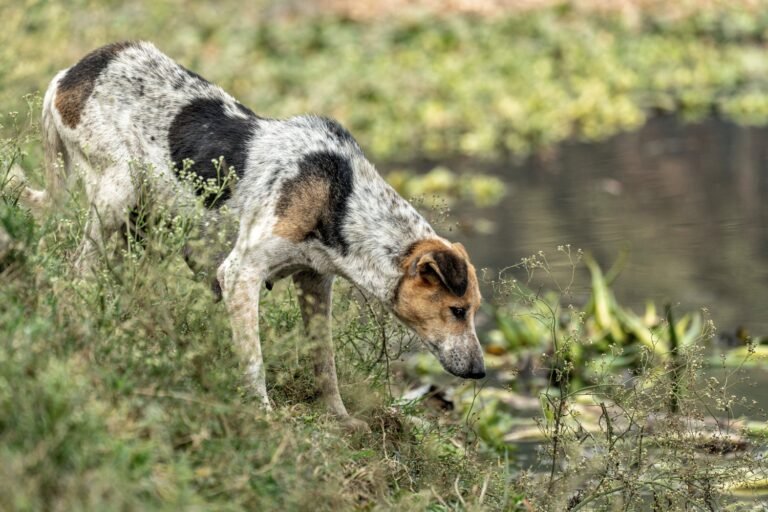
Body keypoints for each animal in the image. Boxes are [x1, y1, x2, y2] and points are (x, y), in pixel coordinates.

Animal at [16, 40, 486, 426]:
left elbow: (326, 363)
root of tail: (69, 73)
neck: (342, 197)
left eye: (473, 311)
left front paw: (338, 417)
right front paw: (263, 414)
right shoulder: (240, 275)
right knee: (80, 269)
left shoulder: (315, 282)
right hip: (117, 194)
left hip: (146, 224)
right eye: (457, 311)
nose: (481, 371)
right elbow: (254, 361)